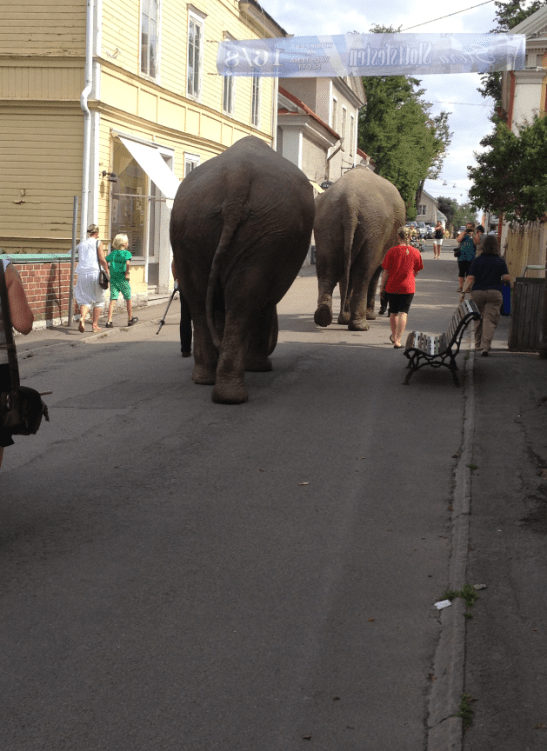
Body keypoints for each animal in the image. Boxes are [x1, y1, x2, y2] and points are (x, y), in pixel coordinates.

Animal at [170, 136, 315, 404]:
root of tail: (238, 180)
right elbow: (263, 302)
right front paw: (259, 367)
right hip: (263, 230)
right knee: (244, 299)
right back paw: (233, 394)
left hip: (196, 225)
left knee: (202, 298)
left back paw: (209, 382)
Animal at [313, 167, 406, 330]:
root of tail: (350, 202)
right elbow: (375, 273)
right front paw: (370, 317)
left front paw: (344, 318)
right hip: (373, 231)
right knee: (363, 274)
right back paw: (361, 325)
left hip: (326, 224)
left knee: (327, 270)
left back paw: (326, 317)